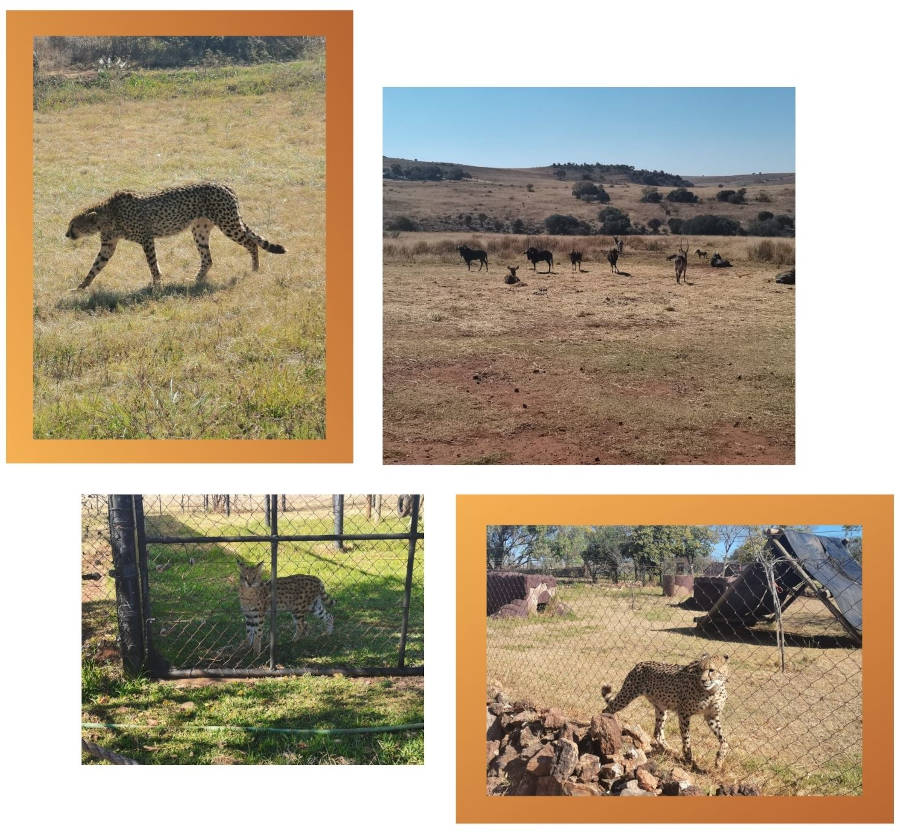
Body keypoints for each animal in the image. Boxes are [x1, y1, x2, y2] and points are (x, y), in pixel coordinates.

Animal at [66, 182, 284, 290]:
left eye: (73, 225)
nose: (66, 234)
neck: (108, 214)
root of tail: (224, 185)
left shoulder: (146, 238)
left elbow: (152, 264)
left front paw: (157, 285)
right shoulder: (108, 245)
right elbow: (96, 266)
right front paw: (81, 287)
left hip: (228, 224)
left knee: (251, 243)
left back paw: (255, 269)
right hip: (200, 230)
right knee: (208, 259)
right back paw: (194, 280)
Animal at [600, 652, 728, 772]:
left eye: (711, 670)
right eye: (700, 670)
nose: (703, 680)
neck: (713, 691)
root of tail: (641, 663)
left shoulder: (711, 716)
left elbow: (724, 740)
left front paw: (719, 760)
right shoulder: (684, 713)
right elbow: (686, 739)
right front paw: (688, 759)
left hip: (661, 708)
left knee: (657, 733)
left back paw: (670, 749)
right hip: (627, 695)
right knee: (607, 709)